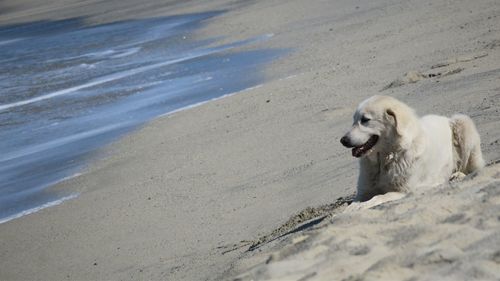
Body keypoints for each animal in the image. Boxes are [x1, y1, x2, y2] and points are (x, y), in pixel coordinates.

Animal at [340, 95, 484, 201]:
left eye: (365, 120)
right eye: (354, 120)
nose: (343, 140)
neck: (386, 158)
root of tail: (445, 118)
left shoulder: (404, 191)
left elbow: (378, 198)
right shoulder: (363, 193)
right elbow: (352, 206)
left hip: (462, 122)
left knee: (474, 168)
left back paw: (457, 175)